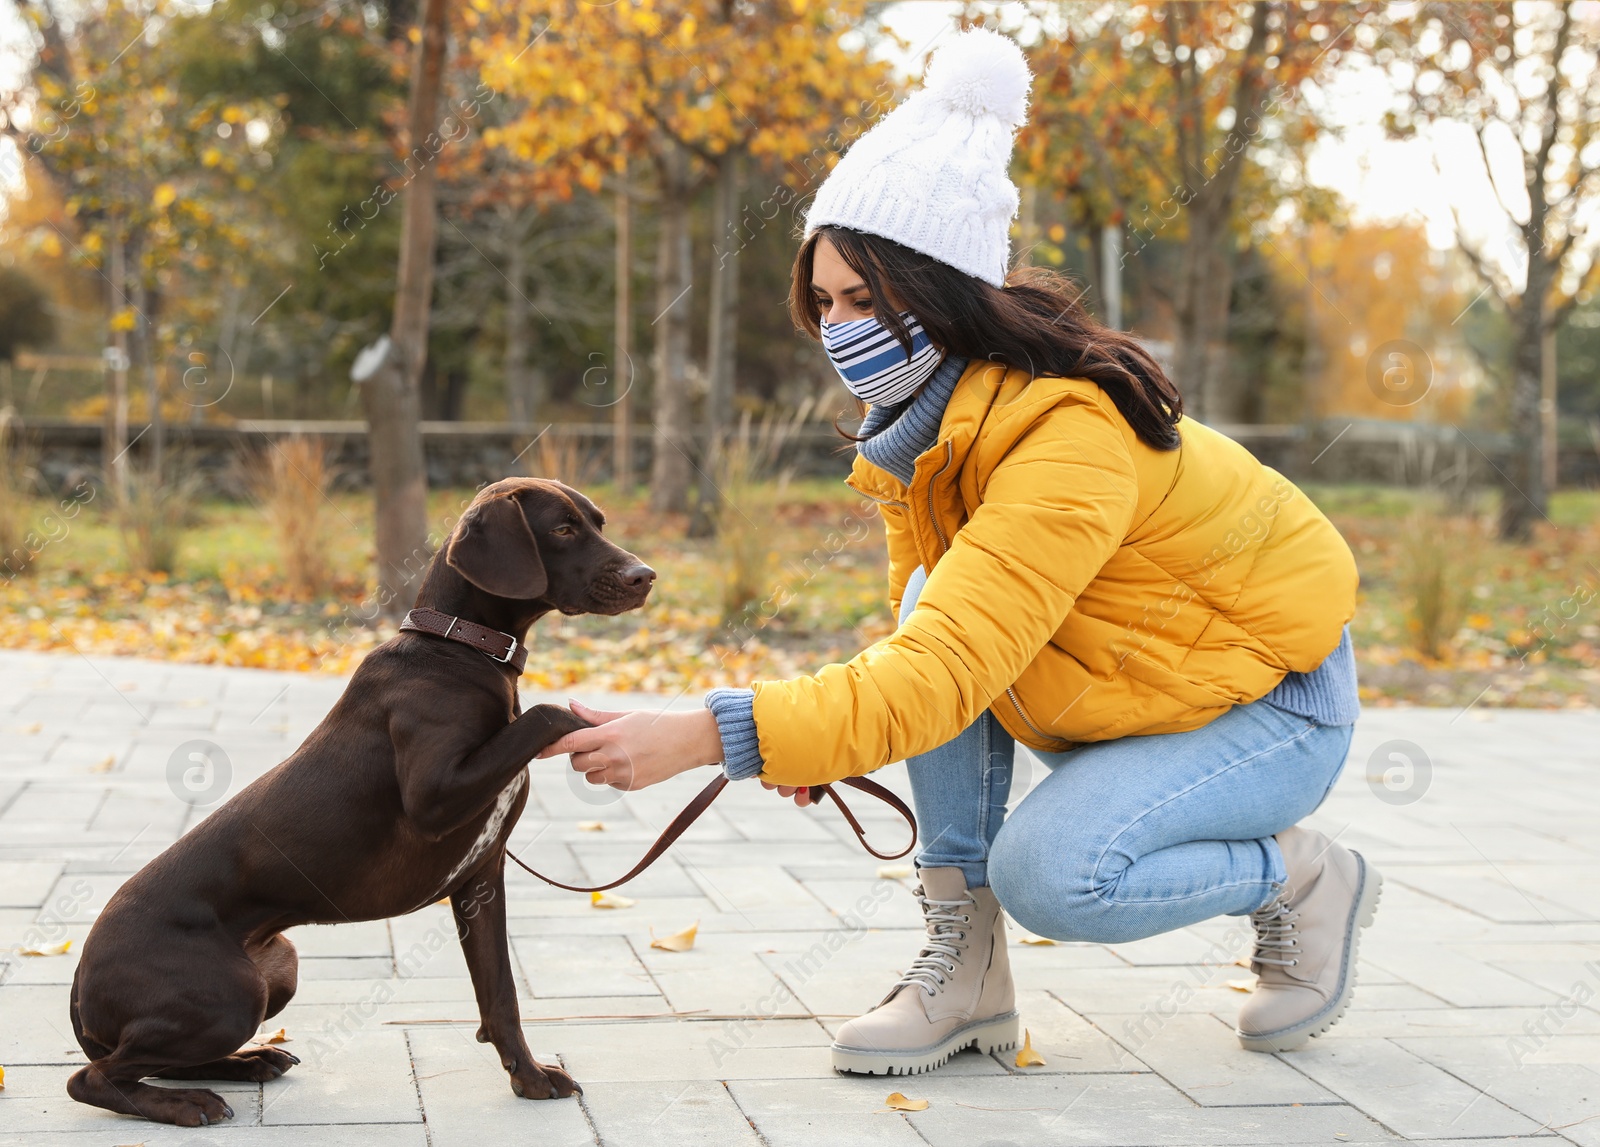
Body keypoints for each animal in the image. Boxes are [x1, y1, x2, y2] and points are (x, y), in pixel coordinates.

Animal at [67, 476, 656, 1126]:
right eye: (563, 529)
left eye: (598, 522)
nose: (646, 576)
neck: (460, 648)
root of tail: (80, 978)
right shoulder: (434, 799)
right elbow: (550, 712)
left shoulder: (481, 877)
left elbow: (500, 994)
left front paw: (527, 1078)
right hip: (231, 994)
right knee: (94, 1076)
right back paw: (186, 1104)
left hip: (278, 967)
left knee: (151, 1061)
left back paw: (249, 1062)